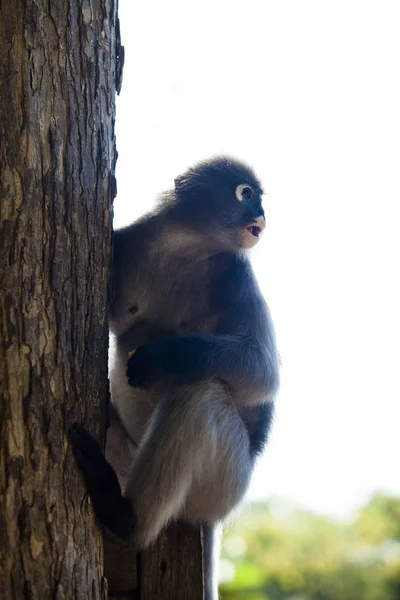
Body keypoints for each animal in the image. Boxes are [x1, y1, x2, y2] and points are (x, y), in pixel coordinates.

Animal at [69, 155, 278, 592]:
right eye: (246, 193)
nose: (262, 215)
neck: (186, 246)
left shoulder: (238, 276)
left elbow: (263, 376)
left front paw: (161, 357)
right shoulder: (129, 244)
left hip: (225, 484)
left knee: (199, 393)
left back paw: (125, 517)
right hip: (128, 452)